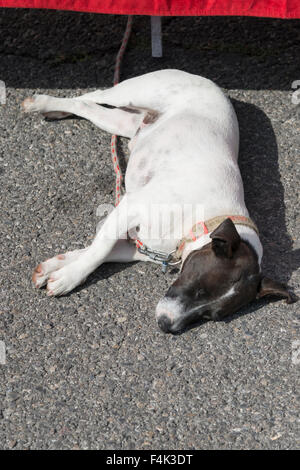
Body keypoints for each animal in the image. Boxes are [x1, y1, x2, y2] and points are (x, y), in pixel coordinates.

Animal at [22, 70, 294, 334]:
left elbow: (99, 251)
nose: (166, 325)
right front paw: (69, 278)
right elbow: (98, 251)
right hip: (133, 92)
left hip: (122, 122)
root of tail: (207, 80)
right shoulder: (130, 207)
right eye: (198, 288)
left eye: (210, 315)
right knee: (93, 94)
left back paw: (55, 110)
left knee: (88, 107)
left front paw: (54, 268)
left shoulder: (141, 246)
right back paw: (41, 103)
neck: (202, 221)